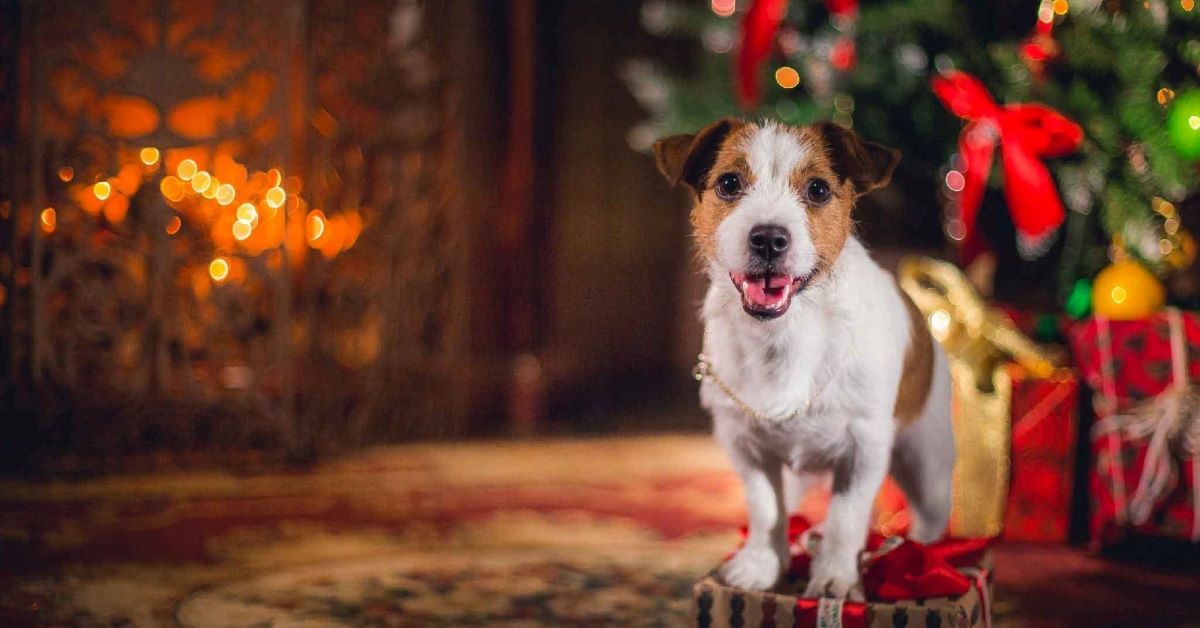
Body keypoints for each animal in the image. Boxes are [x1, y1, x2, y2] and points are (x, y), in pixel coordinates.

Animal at [652, 116, 950, 600]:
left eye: (818, 189)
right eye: (729, 183)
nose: (769, 238)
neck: (784, 336)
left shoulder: (864, 449)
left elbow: (845, 519)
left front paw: (835, 578)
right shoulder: (746, 446)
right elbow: (764, 509)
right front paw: (760, 565)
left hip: (928, 464)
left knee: (929, 518)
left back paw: (926, 559)